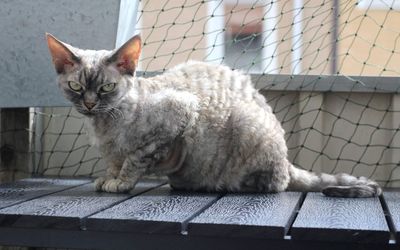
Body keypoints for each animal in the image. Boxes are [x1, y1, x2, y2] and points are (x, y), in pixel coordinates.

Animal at [46, 33, 382, 197]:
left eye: (106, 88)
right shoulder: (112, 151)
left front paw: (121, 183)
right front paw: (110, 178)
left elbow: (135, 160)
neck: (105, 125)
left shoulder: (178, 113)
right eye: (76, 86)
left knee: (276, 184)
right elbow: (116, 162)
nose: (90, 104)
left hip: (247, 125)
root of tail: (287, 160)